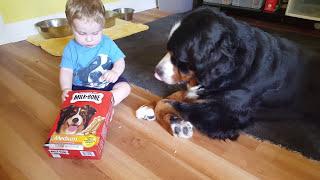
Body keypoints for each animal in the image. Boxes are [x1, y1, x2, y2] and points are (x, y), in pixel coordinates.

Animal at [136, 6, 320, 139]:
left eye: (179, 57)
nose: (156, 72)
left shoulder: (226, 114)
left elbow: (169, 102)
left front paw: (177, 123)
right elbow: (174, 95)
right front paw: (150, 108)